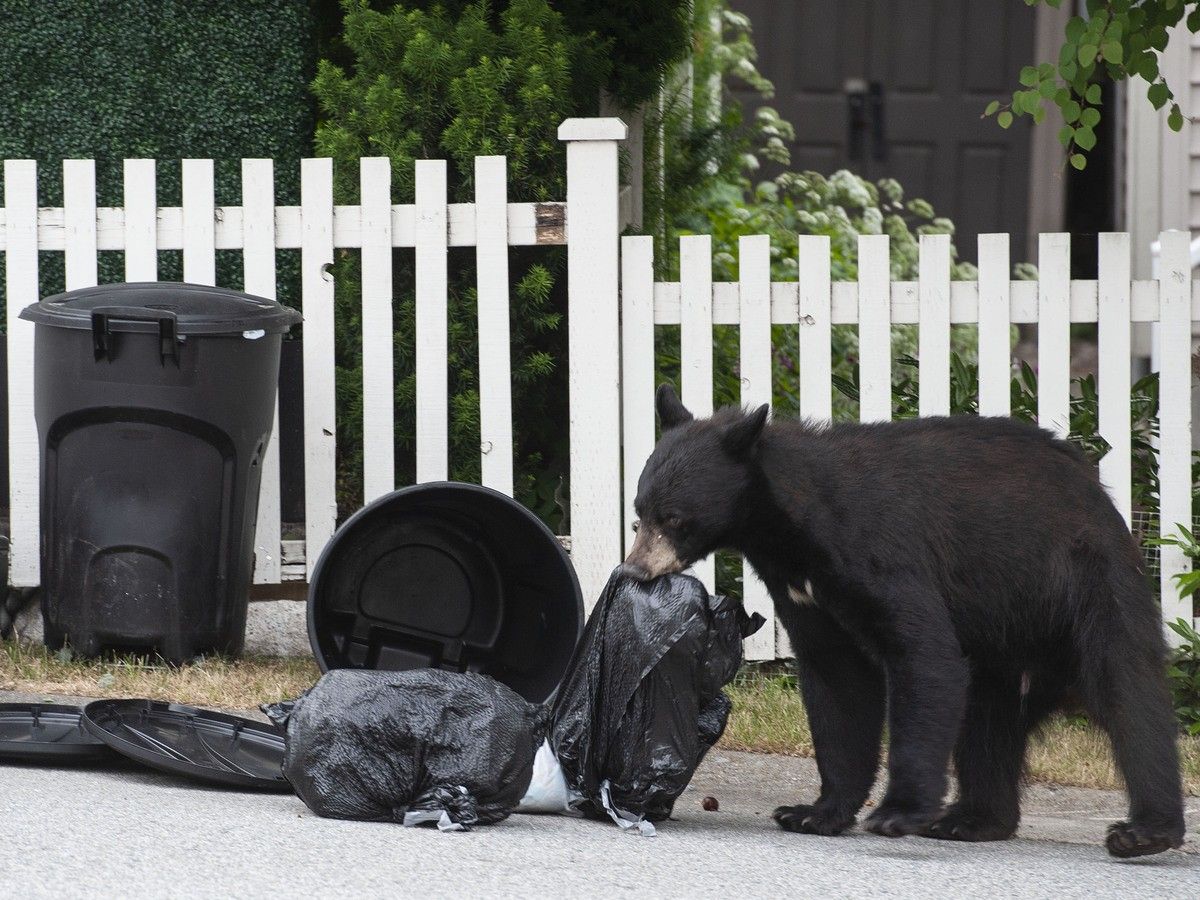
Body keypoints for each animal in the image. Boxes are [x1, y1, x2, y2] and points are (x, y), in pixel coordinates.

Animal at [621, 383, 1185, 858]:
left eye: (674, 518)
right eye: (638, 513)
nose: (634, 570)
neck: (792, 530)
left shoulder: (880, 550)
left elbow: (923, 655)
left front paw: (897, 812)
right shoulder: (802, 590)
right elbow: (837, 681)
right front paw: (813, 812)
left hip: (1086, 584)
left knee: (1128, 691)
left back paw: (1144, 831)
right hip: (1003, 649)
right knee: (988, 724)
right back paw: (972, 820)